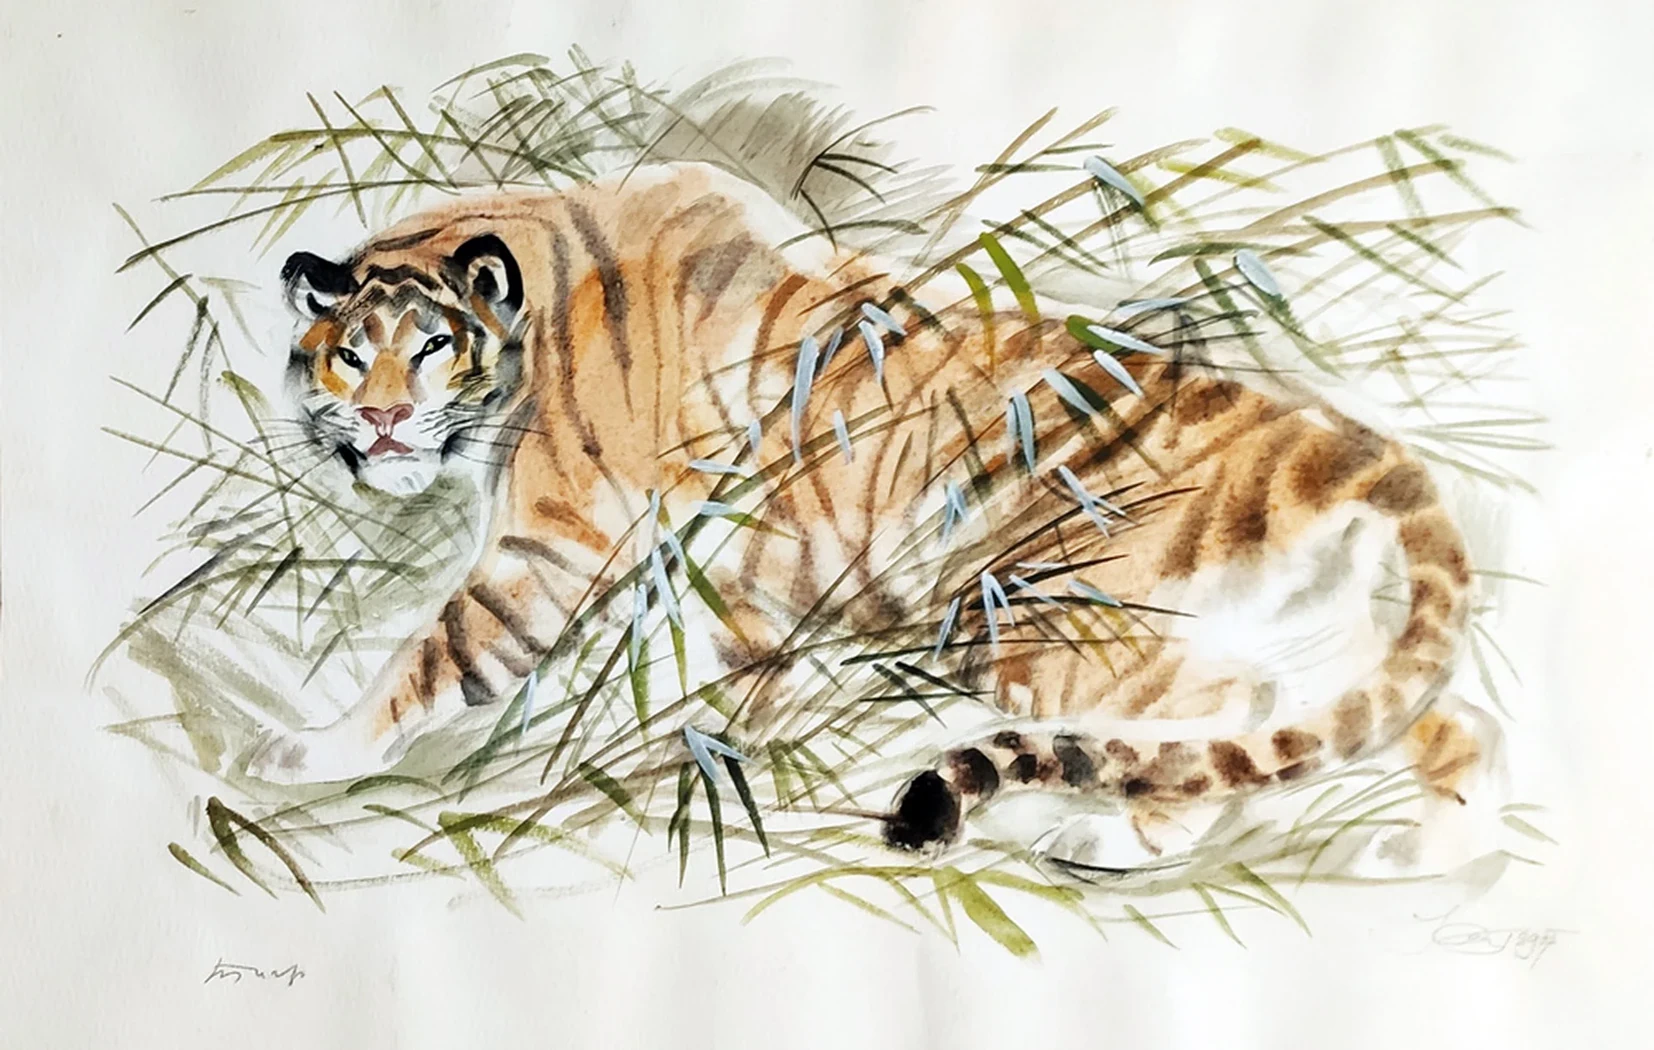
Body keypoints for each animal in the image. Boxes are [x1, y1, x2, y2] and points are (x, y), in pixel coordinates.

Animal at [246, 160, 1480, 860]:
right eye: (350, 354)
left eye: (429, 351)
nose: (384, 424)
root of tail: (1355, 446)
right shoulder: (737, 573)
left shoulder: (551, 547)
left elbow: (434, 658)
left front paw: (297, 754)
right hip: (1342, 663)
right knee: (1420, 728)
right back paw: (1437, 859)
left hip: (1041, 623)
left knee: (1217, 716)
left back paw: (1106, 840)